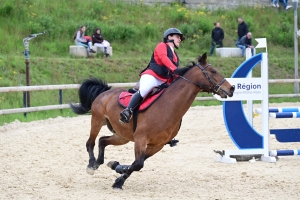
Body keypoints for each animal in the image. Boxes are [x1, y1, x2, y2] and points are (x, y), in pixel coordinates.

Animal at [70, 52, 234, 189]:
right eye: (213, 71)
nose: (231, 88)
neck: (169, 106)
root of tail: (106, 92)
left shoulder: (157, 145)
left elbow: (136, 164)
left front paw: (117, 172)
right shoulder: (141, 139)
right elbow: (138, 164)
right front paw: (117, 173)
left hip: (122, 136)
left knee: (102, 140)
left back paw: (99, 162)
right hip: (97, 120)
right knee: (90, 142)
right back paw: (91, 165)